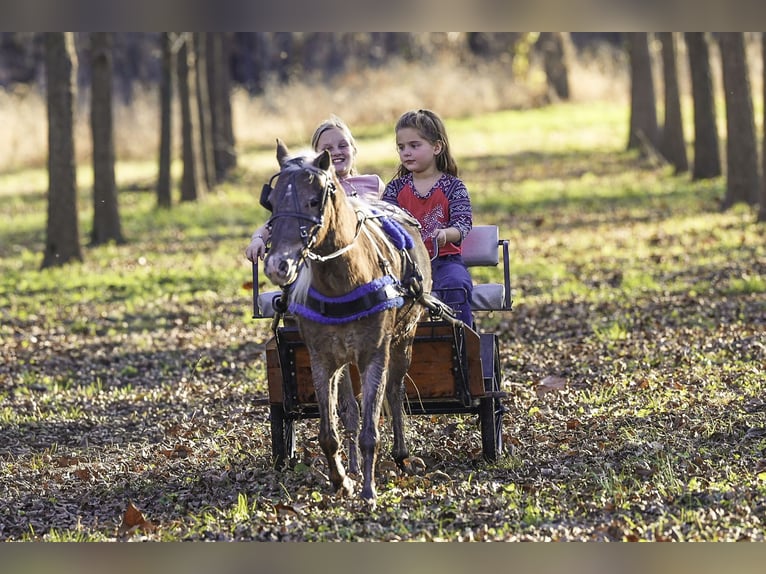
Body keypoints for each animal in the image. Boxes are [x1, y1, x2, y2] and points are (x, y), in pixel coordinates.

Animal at [262, 139, 433, 505]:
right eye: (272, 202)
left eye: (314, 201)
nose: (277, 264)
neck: (342, 280)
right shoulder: (321, 359)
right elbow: (330, 431)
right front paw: (343, 481)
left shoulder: (375, 354)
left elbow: (372, 427)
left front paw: (368, 489)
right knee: (350, 410)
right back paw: (353, 464)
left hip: (404, 338)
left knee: (394, 391)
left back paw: (400, 455)